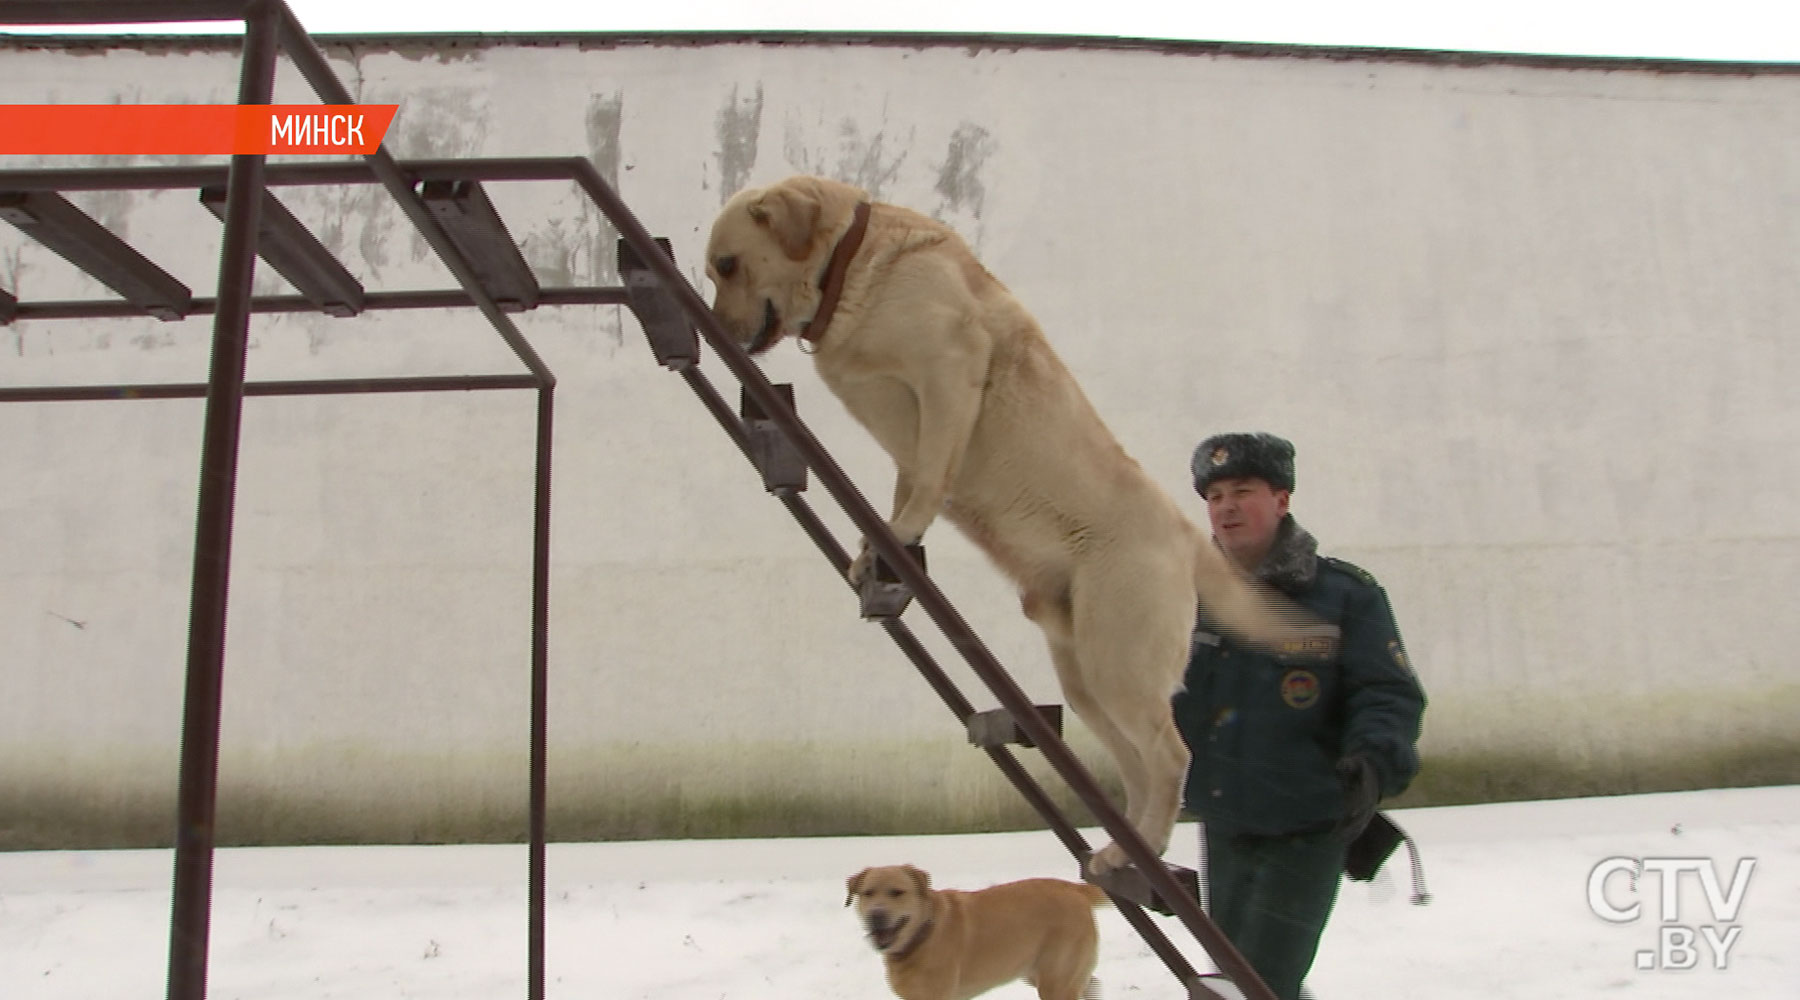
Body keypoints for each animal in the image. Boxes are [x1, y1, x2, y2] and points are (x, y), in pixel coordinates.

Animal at [705, 175, 1324, 870]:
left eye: (726, 265)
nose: (721, 331)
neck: (851, 264)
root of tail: (1190, 537)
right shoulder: (910, 432)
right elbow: (905, 486)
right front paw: (878, 546)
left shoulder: (949, 370)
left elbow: (928, 480)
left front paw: (901, 535)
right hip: (1085, 679)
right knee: (1134, 764)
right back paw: (1124, 849)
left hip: (1119, 660)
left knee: (1170, 754)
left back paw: (1145, 844)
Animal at [846, 863, 1108, 1000]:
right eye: (868, 893)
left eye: (897, 892)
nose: (876, 915)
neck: (923, 932)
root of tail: (1074, 889)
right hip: (1039, 972)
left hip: (1056, 981)